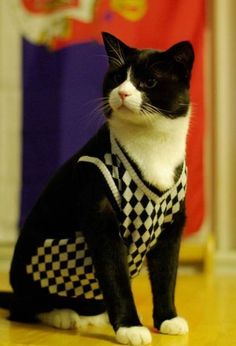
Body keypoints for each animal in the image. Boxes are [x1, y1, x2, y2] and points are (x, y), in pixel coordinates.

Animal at [0, 33, 194, 346]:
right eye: (117, 77)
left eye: (149, 81)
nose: (123, 93)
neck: (152, 147)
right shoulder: (99, 212)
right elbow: (115, 276)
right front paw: (130, 327)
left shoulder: (172, 222)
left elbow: (167, 273)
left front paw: (168, 319)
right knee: (23, 308)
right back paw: (63, 315)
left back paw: (94, 316)